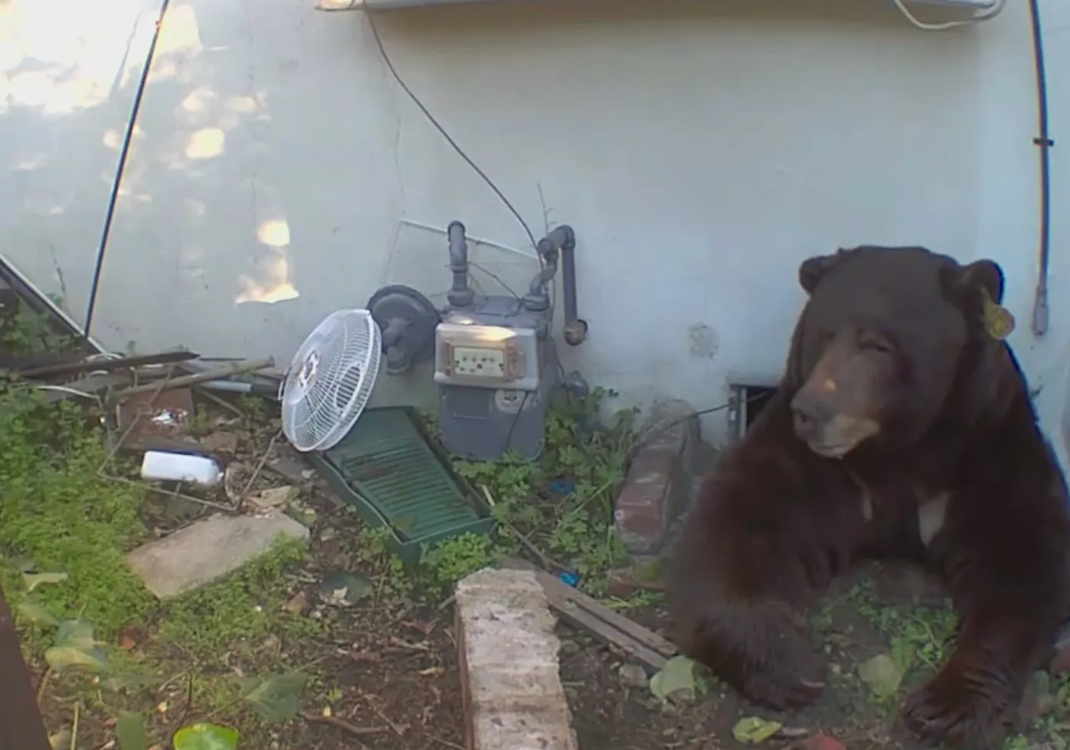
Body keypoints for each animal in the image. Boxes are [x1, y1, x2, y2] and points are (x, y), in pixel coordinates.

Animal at [668, 245, 1070, 750]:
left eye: (878, 345)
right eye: (823, 335)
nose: (812, 411)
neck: (898, 451)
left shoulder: (989, 451)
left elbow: (1023, 560)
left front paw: (945, 707)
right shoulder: (809, 467)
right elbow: (735, 522)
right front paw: (789, 662)